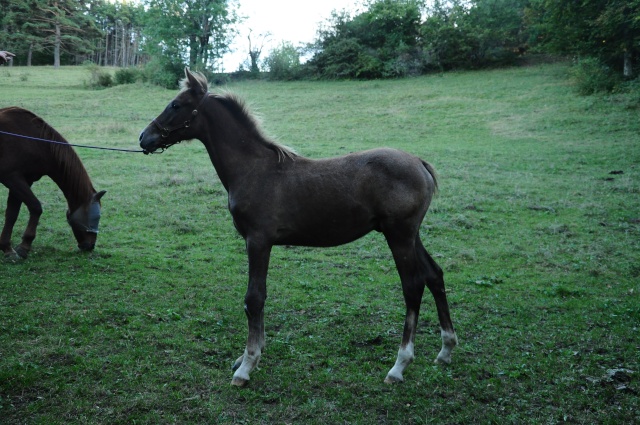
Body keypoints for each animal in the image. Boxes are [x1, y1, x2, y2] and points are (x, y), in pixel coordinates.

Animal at [0, 106, 106, 258]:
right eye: (95, 218)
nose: (90, 246)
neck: (33, 141)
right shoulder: (12, 178)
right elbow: (36, 207)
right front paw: (24, 245)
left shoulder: (23, 180)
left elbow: (12, 214)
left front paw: (7, 248)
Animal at [138, 68, 458, 384]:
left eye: (175, 105)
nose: (144, 138)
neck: (254, 168)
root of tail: (419, 162)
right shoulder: (258, 242)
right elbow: (260, 297)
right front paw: (250, 356)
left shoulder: (258, 240)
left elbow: (254, 299)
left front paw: (247, 365)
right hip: (411, 234)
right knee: (434, 275)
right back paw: (445, 350)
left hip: (399, 234)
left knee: (412, 286)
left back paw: (399, 365)